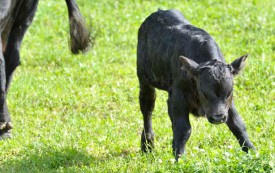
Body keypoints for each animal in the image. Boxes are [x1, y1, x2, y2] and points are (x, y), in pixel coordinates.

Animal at [137, 9, 256, 161]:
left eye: (229, 92)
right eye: (204, 92)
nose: (218, 117)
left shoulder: (228, 104)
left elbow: (238, 124)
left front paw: (253, 152)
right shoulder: (176, 98)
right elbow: (183, 129)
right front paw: (179, 158)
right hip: (144, 79)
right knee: (147, 109)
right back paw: (147, 146)